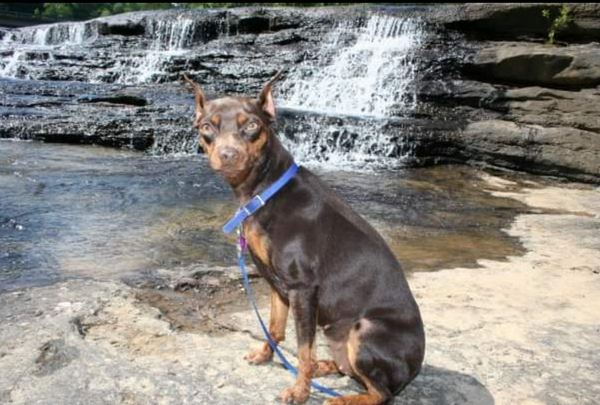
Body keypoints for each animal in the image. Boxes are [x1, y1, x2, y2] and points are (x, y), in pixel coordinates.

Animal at [185, 73, 424, 404]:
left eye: (252, 125)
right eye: (208, 126)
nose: (228, 155)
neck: (265, 191)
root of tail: (416, 366)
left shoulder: (303, 288)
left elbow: (302, 345)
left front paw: (299, 391)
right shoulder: (276, 283)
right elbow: (275, 328)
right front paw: (266, 356)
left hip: (364, 329)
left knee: (381, 392)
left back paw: (343, 397)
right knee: (347, 369)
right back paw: (324, 366)